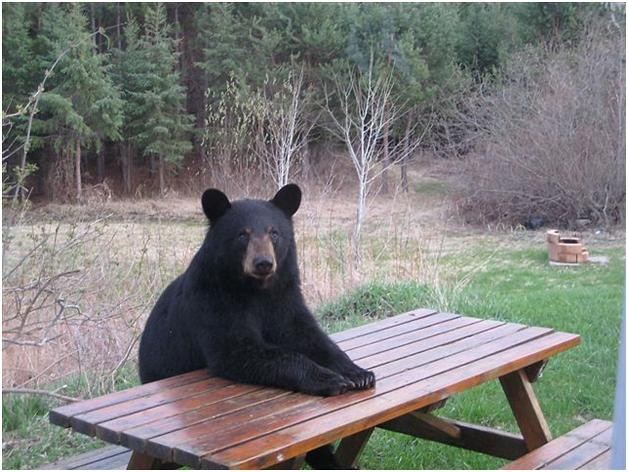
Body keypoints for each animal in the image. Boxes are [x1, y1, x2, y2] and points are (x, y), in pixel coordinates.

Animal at [139, 183, 372, 396]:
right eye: (243, 235)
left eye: (274, 233)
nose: (263, 263)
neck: (257, 289)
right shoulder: (212, 300)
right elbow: (239, 349)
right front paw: (329, 378)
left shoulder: (284, 295)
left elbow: (307, 334)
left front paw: (358, 373)